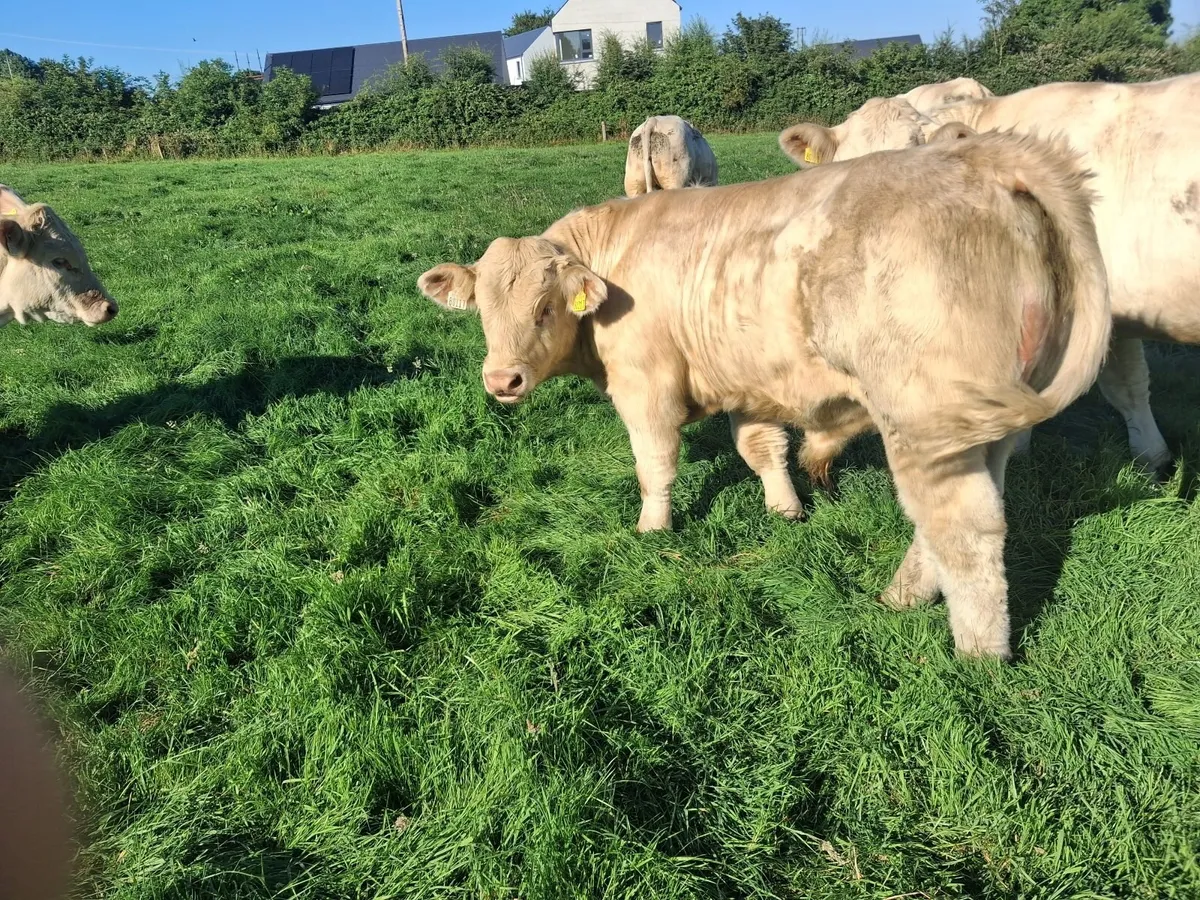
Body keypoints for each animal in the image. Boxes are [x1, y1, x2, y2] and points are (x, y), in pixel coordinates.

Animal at [419, 131, 1111, 659]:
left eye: (543, 307)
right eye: (483, 311)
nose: (501, 381)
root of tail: (981, 157)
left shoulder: (645, 385)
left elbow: (655, 464)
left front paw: (652, 530)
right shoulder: (752, 383)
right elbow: (761, 450)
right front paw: (786, 509)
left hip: (926, 416)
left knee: (964, 528)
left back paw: (978, 654)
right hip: (978, 425)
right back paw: (904, 595)